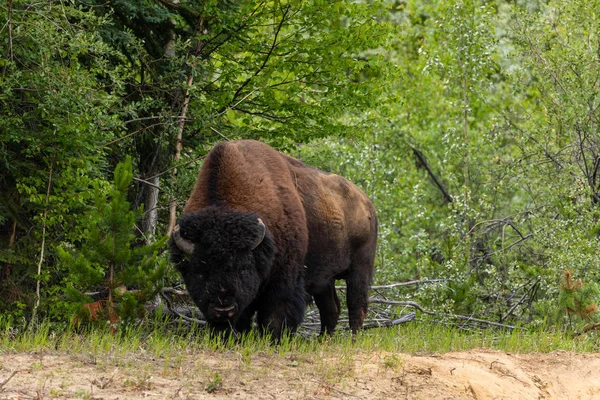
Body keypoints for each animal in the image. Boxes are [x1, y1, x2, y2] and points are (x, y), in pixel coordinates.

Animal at [170, 141, 376, 338]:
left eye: (243, 268)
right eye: (200, 271)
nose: (223, 309)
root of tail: (367, 203)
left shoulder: (283, 279)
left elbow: (274, 316)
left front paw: (273, 339)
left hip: (359, 270)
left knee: (356, 306)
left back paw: (352, 339)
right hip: (325, 279)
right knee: (331, 309)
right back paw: (323, 339)